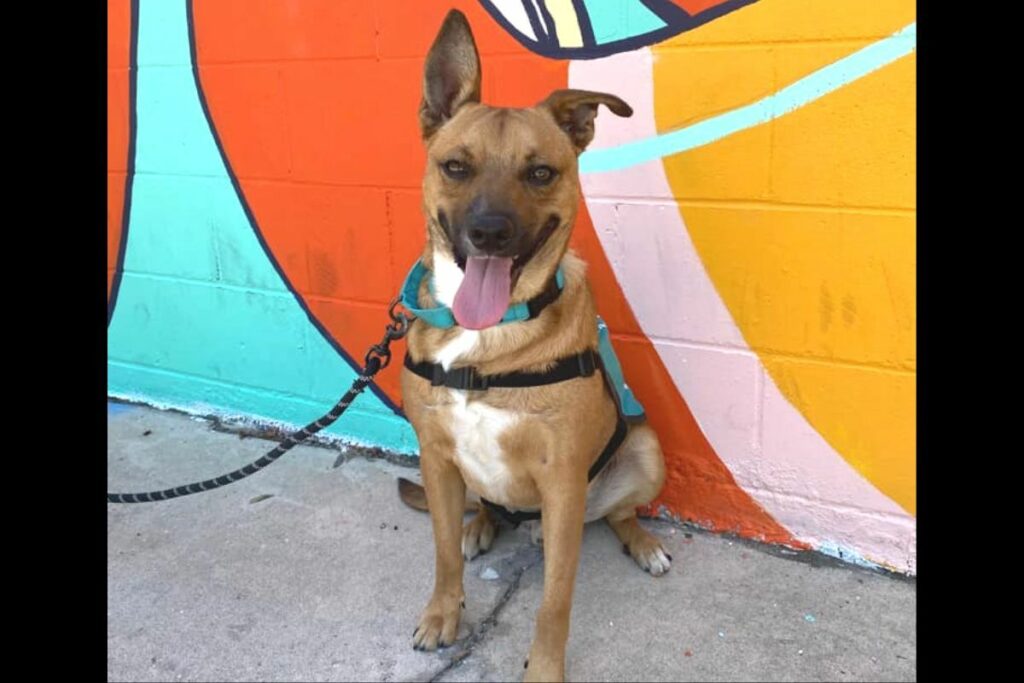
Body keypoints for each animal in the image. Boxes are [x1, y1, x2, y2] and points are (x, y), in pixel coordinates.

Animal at [397, 7, 671, 679]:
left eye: (540, 172)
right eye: (456, 166)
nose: (489, 233)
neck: (486, 336)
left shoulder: (564, 480)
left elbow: (555, 600)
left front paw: (544, 668)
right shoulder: (435, 456)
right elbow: (442, 554)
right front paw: (443, 615)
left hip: (645, 450)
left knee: (617, 513)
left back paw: (643, 543)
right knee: (483, 510)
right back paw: (480, 525)